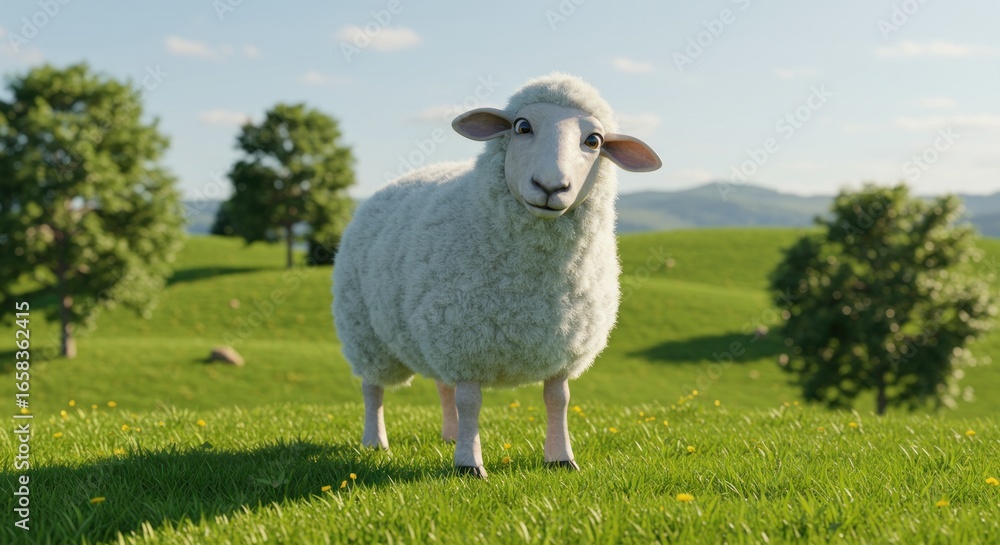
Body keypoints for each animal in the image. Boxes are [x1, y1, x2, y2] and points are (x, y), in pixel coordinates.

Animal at [332, 73, 661, 478]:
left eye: (594, 141)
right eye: (522, 127)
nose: (550, 186)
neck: (531, 280)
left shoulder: (561, 349)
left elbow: (558, 400)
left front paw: (561, 458)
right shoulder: (465, 343)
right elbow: (470, 402)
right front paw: (469, 465)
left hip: (430, 330)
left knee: (442, 387)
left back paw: (449, 435)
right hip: (365, 332)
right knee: (372, 389)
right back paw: (375, 441)